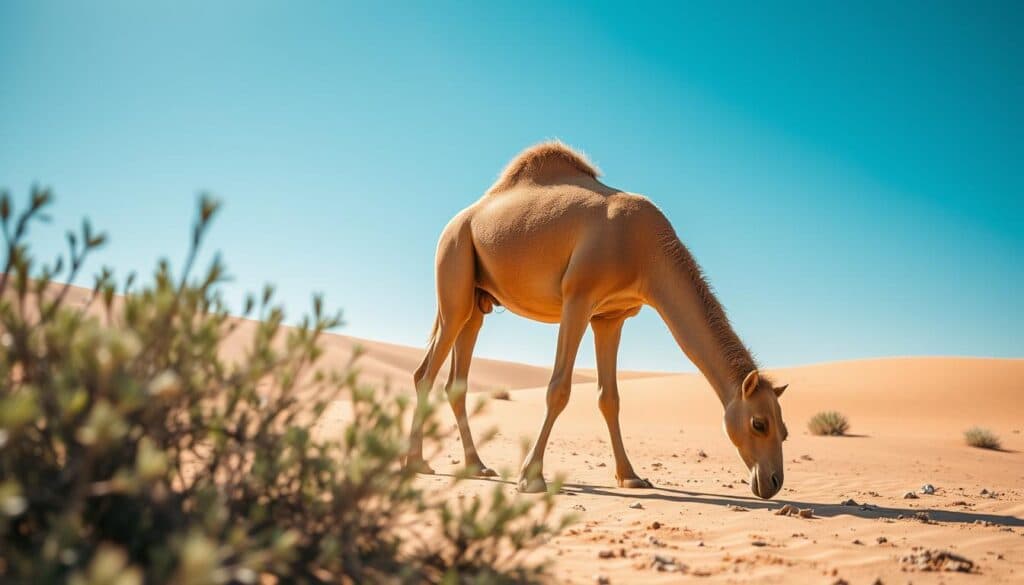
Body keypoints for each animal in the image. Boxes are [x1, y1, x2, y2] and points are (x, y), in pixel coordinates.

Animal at [406, 141, 790, 499]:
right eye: (759, 423)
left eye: (784, 430)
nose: (773, 482)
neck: (648, 253)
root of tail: (458, 220)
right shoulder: (578, 298)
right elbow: (558, 389)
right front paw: (531, 478)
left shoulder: (610, 316)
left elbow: (610, 398)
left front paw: (631, 477)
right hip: (454, 263)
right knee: (425, 372)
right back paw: (416, 462)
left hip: (477, 300)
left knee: (456, 379)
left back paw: (477, 466)